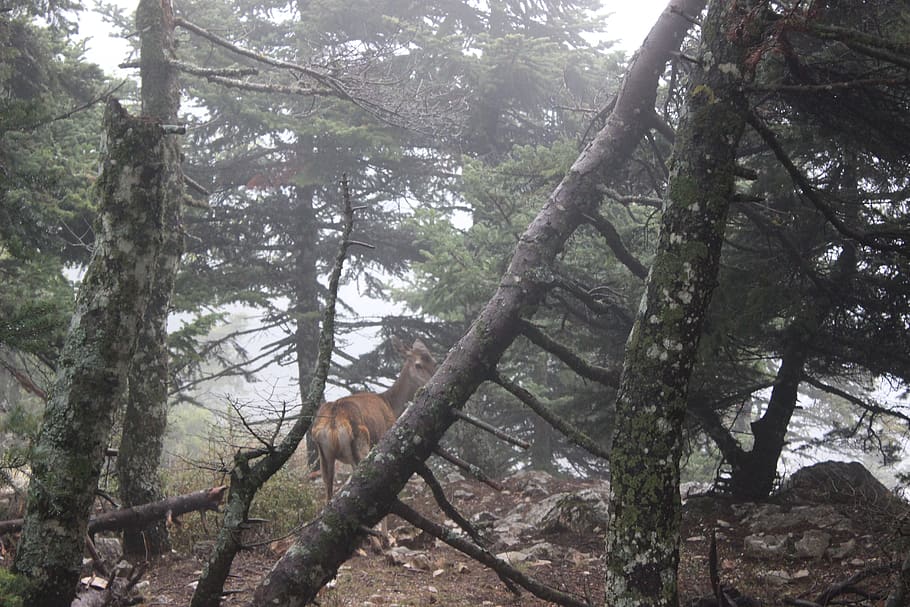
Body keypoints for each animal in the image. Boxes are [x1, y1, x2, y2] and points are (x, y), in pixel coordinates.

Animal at [310, 336, 437, 506]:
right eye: (418, 364)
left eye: (434, 361)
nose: (432, 380)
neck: (391, 406)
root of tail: (333, 423)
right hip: (361, 446)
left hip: (324, 455)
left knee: (328, 492)